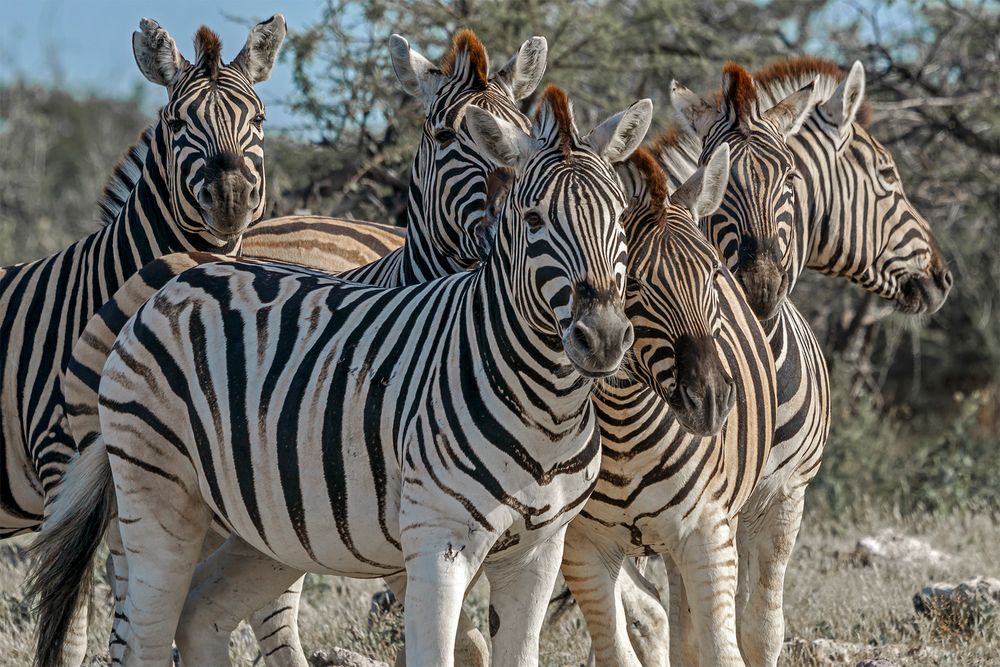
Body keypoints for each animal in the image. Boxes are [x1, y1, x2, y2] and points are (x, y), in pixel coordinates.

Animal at [29, 86, 648, 664]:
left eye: (620, 218)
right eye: (535, 219)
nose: (603, 337)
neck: (547, 408)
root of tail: (171, 284)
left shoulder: (538, 552)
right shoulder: (439, 541)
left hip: (269, 529)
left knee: (201, 611)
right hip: (157, 494)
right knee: (147, 637)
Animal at [640, 58, 952, 667]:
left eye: (787, 178)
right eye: (887, 174)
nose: (760, 287)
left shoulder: (784, 496)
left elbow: (760, 628)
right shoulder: (699, 505)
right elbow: (693, 631)